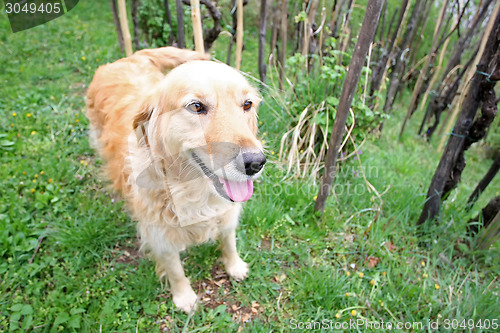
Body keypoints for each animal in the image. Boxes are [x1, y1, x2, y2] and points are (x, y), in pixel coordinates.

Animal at [86, 46, 266, 312]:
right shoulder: (159, 234)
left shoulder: (227, 212)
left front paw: (235, 266)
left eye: (247, 104)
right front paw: (184, 297)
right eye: (196, 106)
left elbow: (228, 240)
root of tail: (128, 58)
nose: (255, 162)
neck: (190, 187)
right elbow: (175, 269)